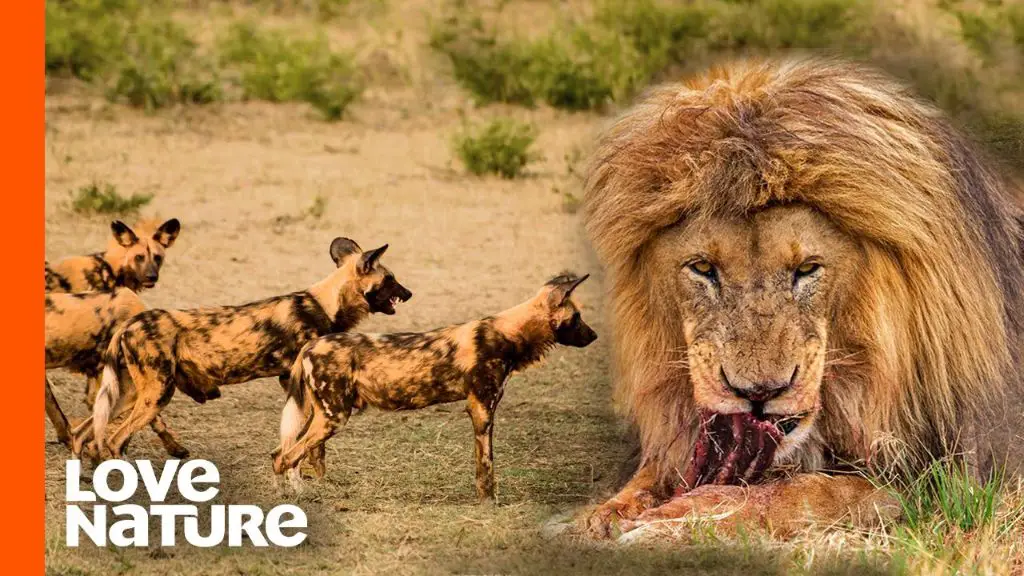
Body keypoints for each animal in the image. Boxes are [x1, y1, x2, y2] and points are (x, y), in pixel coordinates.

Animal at [272, 270, 598, 500]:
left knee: (282, 453)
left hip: (320, 415)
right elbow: (487, 467)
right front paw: (488, 503)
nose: (594, 336)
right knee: (286, 457)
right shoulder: (482, 410)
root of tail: (311, 346)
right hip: (334, 417)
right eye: (577, 317)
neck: (510, 333)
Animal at [581, 56, 1024, 537]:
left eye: (807, 269)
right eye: (703, 269)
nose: (759, 393)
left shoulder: (937, 484)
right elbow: (648, 476)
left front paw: (679, 517)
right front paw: (607, 514)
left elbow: (798, 493)